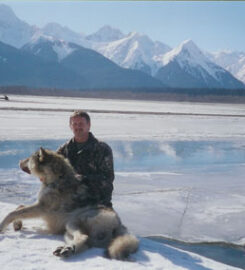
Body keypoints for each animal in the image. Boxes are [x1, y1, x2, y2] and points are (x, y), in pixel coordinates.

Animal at [0, 148, 138, 260]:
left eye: (29, 158)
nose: (19, 160)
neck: (57, 179)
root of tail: (119, 224)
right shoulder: (38, 206)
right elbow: (19, 207)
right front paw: (17, 224)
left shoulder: (40, 207)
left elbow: (13, 212)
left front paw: (2, 226)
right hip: (67, 231)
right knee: (84, 242)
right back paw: (67, 250)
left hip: (72, 222)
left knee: (83, 237)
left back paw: (66, 249)